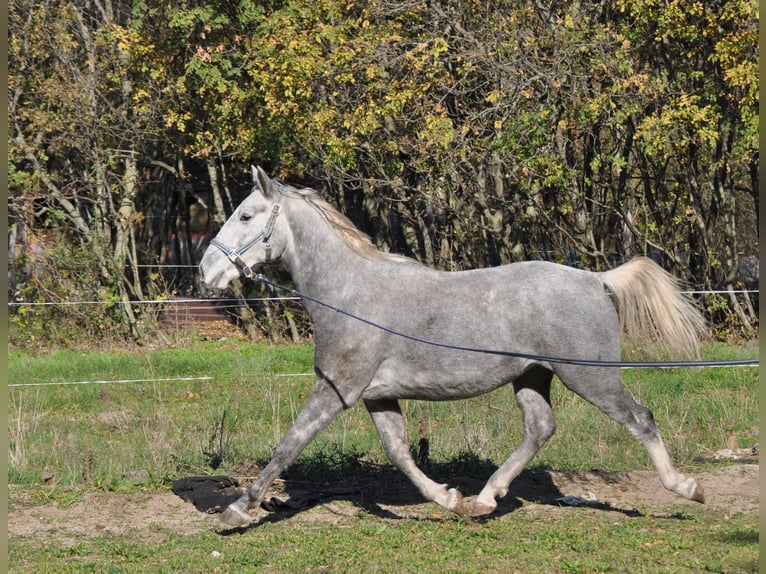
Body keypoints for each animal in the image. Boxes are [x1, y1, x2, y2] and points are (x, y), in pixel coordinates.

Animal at [198, 165, 708, 528]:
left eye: (245, 216)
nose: (206, 271)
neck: (349, 295)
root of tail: (597, 279)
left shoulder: (336, 389)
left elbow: (289, 444)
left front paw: (236, 511)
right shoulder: (377, 396)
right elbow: (400, 454)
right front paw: (450, 498)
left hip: (590, 376)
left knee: (640, 419)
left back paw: (687, 488)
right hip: (532, 376)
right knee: (540, 429)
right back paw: (484, 499)